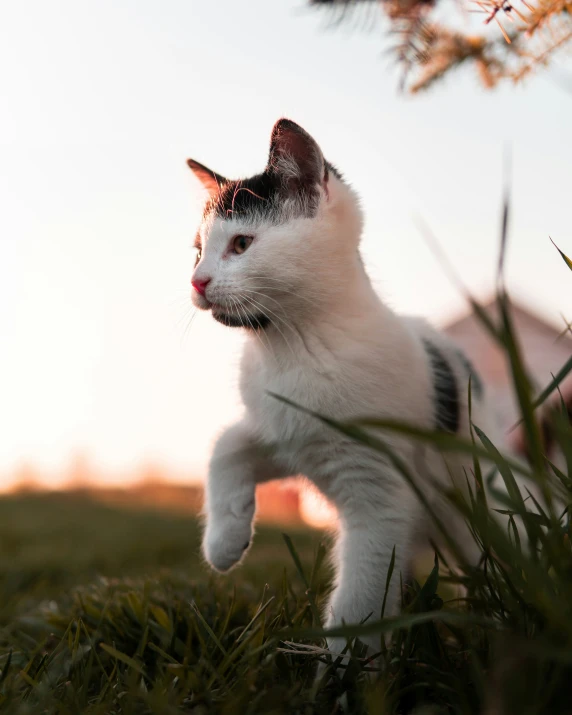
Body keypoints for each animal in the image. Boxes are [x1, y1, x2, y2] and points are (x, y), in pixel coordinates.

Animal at [187, 120, 496, 664]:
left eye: (242, 243)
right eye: (195, 249)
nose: (196, 281)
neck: (293, 349)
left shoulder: (379, 496)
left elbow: (360, 597)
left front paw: (345, 673)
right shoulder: (285, 435)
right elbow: (227, 444)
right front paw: (225, 538)